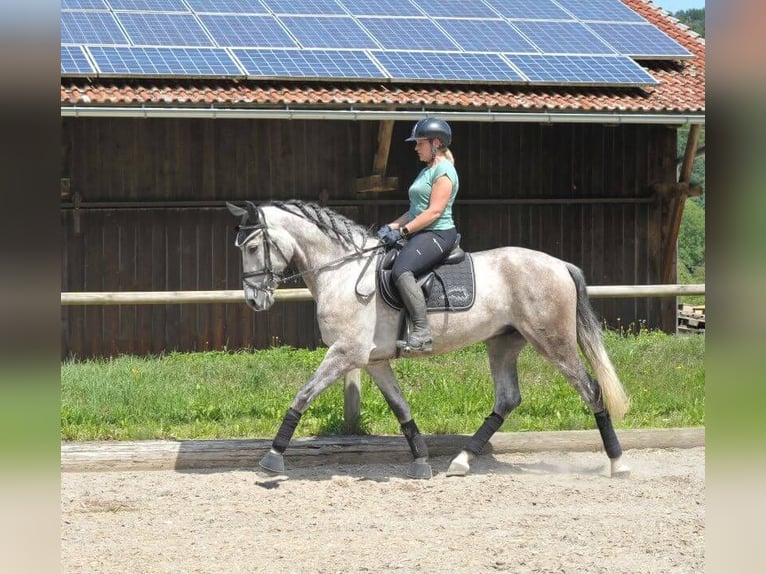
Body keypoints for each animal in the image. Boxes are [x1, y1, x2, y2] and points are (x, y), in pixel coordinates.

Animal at [225, 200, 632, 480]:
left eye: (252, 248)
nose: (254, 300)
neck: (341, 270)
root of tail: (559, 264)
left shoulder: (345, 353)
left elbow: (302, 395)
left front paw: (272, 458)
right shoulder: (373, 360)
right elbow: (400, 407)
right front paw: (421, 461)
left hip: (553, 341)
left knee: (591, 391)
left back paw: (618, 463)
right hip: (503, 343)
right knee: (507, 399)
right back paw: (461, 461)